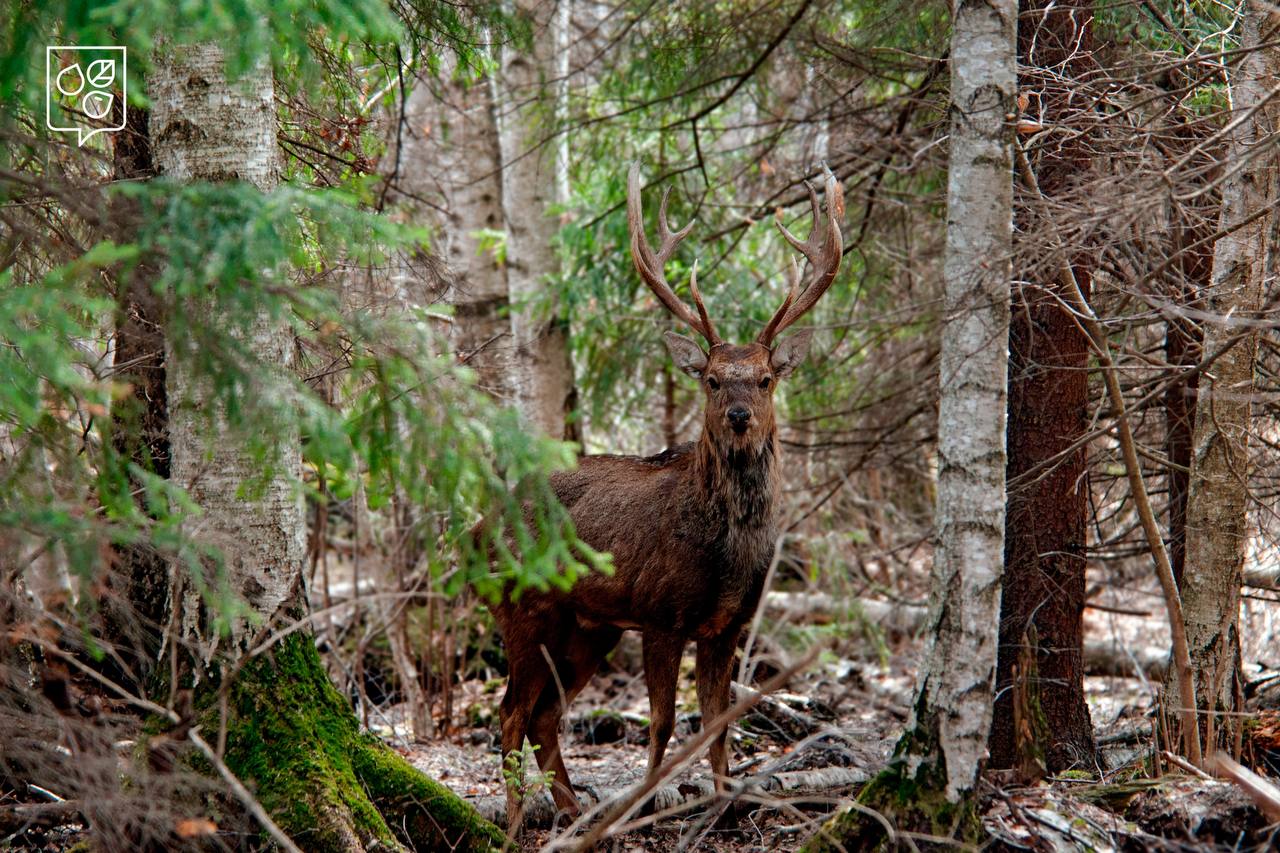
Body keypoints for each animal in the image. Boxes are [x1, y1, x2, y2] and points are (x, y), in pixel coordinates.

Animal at [488, 163, 843, 833]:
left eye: (765, 379)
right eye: (711, 379)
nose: (738, 417)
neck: (727, 556)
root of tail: (474, 530)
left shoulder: (729, 624)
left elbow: (717, 723)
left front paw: (725, 804)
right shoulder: (659, 612)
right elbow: (661, 723)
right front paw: (647, 807)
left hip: (588, 627)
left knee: (545, 714)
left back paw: (572, 810)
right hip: (526, 608)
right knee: (512, 714)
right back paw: (521, 820)